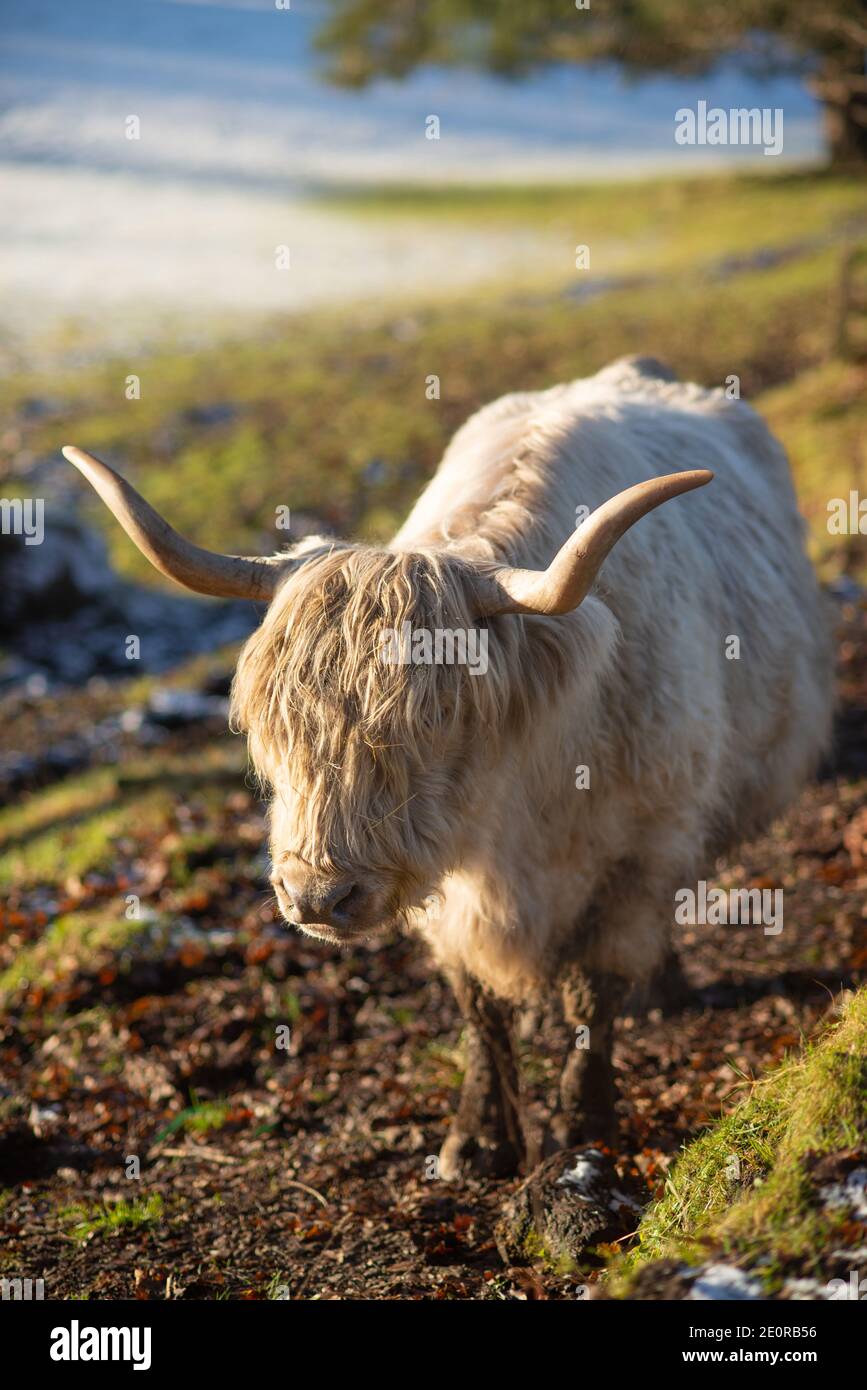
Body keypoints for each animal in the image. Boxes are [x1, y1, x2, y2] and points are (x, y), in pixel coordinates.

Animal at [64, 355, 834, 1179]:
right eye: (275, 725)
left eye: (433, 722)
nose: (315, 895)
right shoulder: (449, 890)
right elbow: (479, 1006)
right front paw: (476, 1139)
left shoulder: (642, 850)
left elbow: (594, 996)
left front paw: (583, 1131)